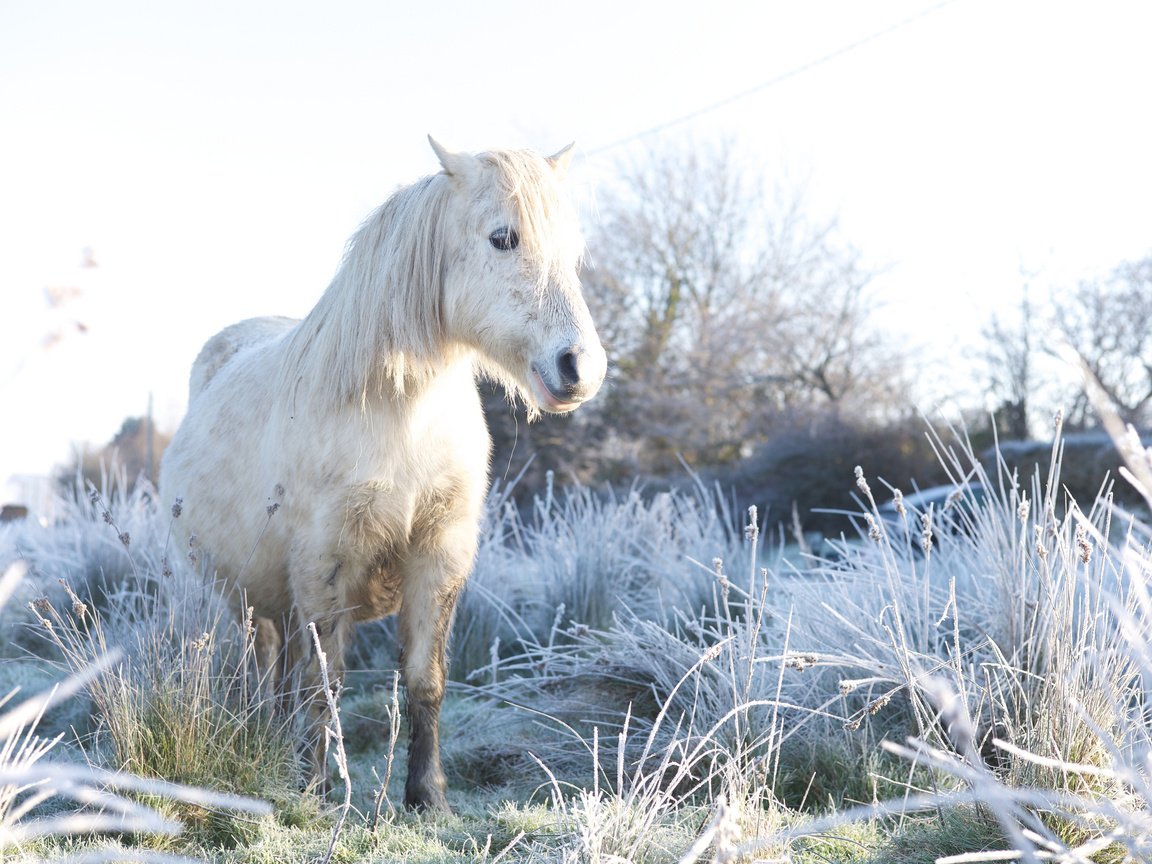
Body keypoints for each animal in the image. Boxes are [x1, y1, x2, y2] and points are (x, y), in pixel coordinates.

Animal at [163, 137, 612, 811]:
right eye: (503, 238)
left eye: (575, 250)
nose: (579, 368)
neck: (401, 415)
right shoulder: (324, 564)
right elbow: (326, 684)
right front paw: (319, 790)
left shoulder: (439, 555)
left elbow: (425, 679)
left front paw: (427, 796)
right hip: (246, 598)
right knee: (264, 667)